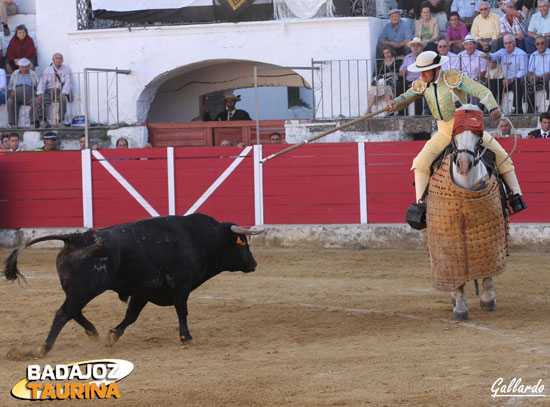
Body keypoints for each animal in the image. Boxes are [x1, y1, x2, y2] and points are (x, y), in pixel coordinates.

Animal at [2, 214, 264, 356]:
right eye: (242, 244)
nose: (254, 263)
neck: (201, 238)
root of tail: (75, 237)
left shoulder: (144, 290)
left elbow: (131, 316)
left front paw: (112, 336)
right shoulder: (180, 285)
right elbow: (182, 311)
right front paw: (186, 337)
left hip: (78, 292)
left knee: (71, 312)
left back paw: (93, 332)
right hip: (84, 291)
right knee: (63, 313)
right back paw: (45, 348)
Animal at [426, 105, 512, 322]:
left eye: (479, 136)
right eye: (455, 135)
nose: (464, 165)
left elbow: (488, 274)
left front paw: (488, 299)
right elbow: (456, 281)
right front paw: (460, 308)